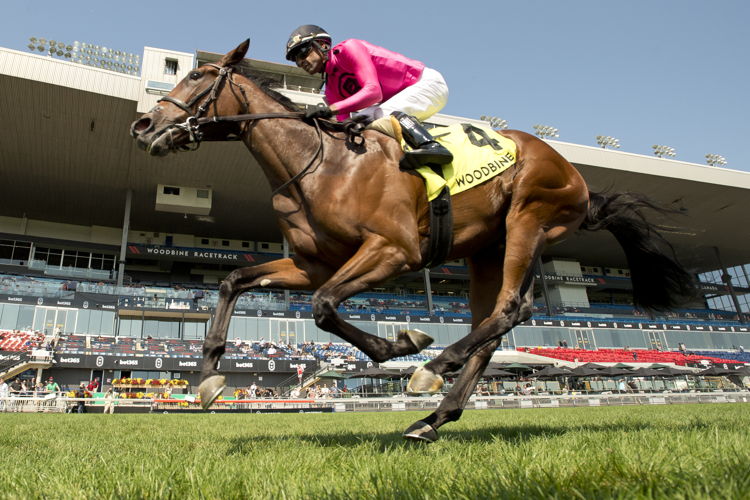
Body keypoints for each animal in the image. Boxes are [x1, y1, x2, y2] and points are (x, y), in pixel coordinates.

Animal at [131, 42, 700, 442]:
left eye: (198, 75)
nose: (143, 124)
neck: (321, 163)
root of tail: (579, 178)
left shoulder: (394, 250)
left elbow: (323, 306)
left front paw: (400, 344)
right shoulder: (314, 263)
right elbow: (233, 281)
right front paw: (207, 378)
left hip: (529, 219)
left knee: (511, 309)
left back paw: (431, 370)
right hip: (486, 250)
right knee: (491, 327)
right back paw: (432, 418)